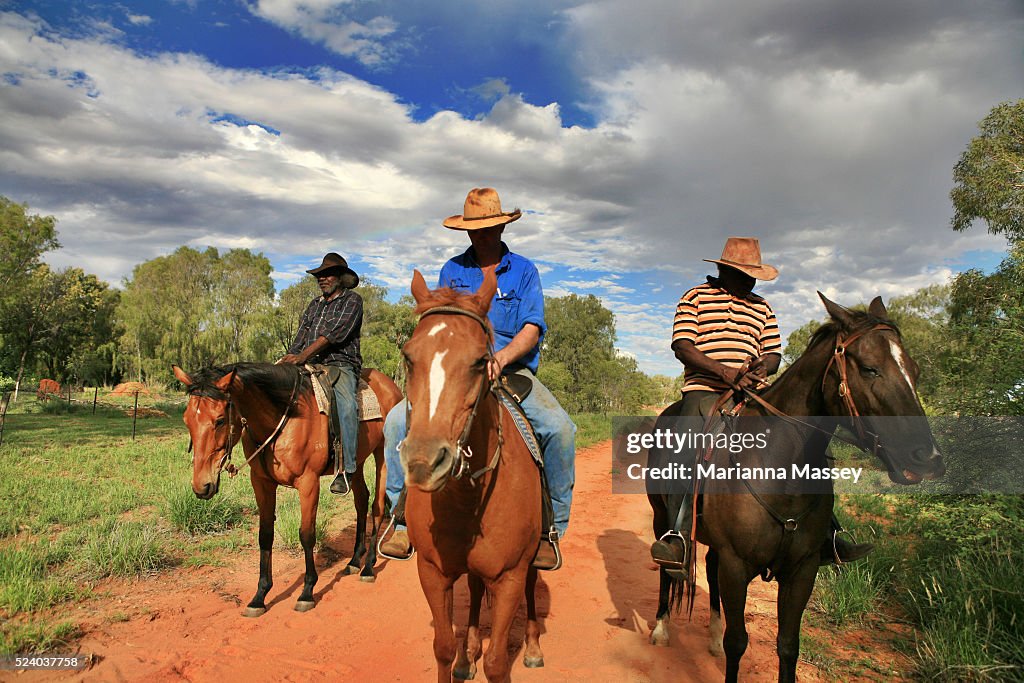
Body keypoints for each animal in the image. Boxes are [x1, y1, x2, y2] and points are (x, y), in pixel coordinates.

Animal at [174, 366, 401, 618]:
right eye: (187, 420)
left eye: (220, 420)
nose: (201, 486)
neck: (284, 418)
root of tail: (390, 385)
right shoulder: (261, 482)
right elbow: (265, 535)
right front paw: (259, 596)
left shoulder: (309, 482)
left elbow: (307, 535)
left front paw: (307, 592)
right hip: (356, 461)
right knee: (362, 500)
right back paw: (353, 561)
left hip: (384, 454)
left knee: (377, 507)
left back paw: (368, 567)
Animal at [399, 270, 548, 683]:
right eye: (408, 357)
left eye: (482, 361)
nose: (424, 462)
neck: (466, 499)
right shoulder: (432, 572)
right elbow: (443, 647)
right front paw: (462, 654)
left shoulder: (510, 576)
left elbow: (497, 662)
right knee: (477, 590)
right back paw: (468, 655)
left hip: (532, 557)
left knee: (531, 586)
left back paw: (532, 647)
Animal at [647, 294, 942, 683]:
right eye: (869, 368)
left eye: (915, 371)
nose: (928, 457)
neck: (779, 471)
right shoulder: (736, 565)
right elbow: (737, 642)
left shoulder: (802, 570)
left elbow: (788, 646)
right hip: (661, 517)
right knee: (667, 569)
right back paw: (661, 629)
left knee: (708, 567)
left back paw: (710, 638)